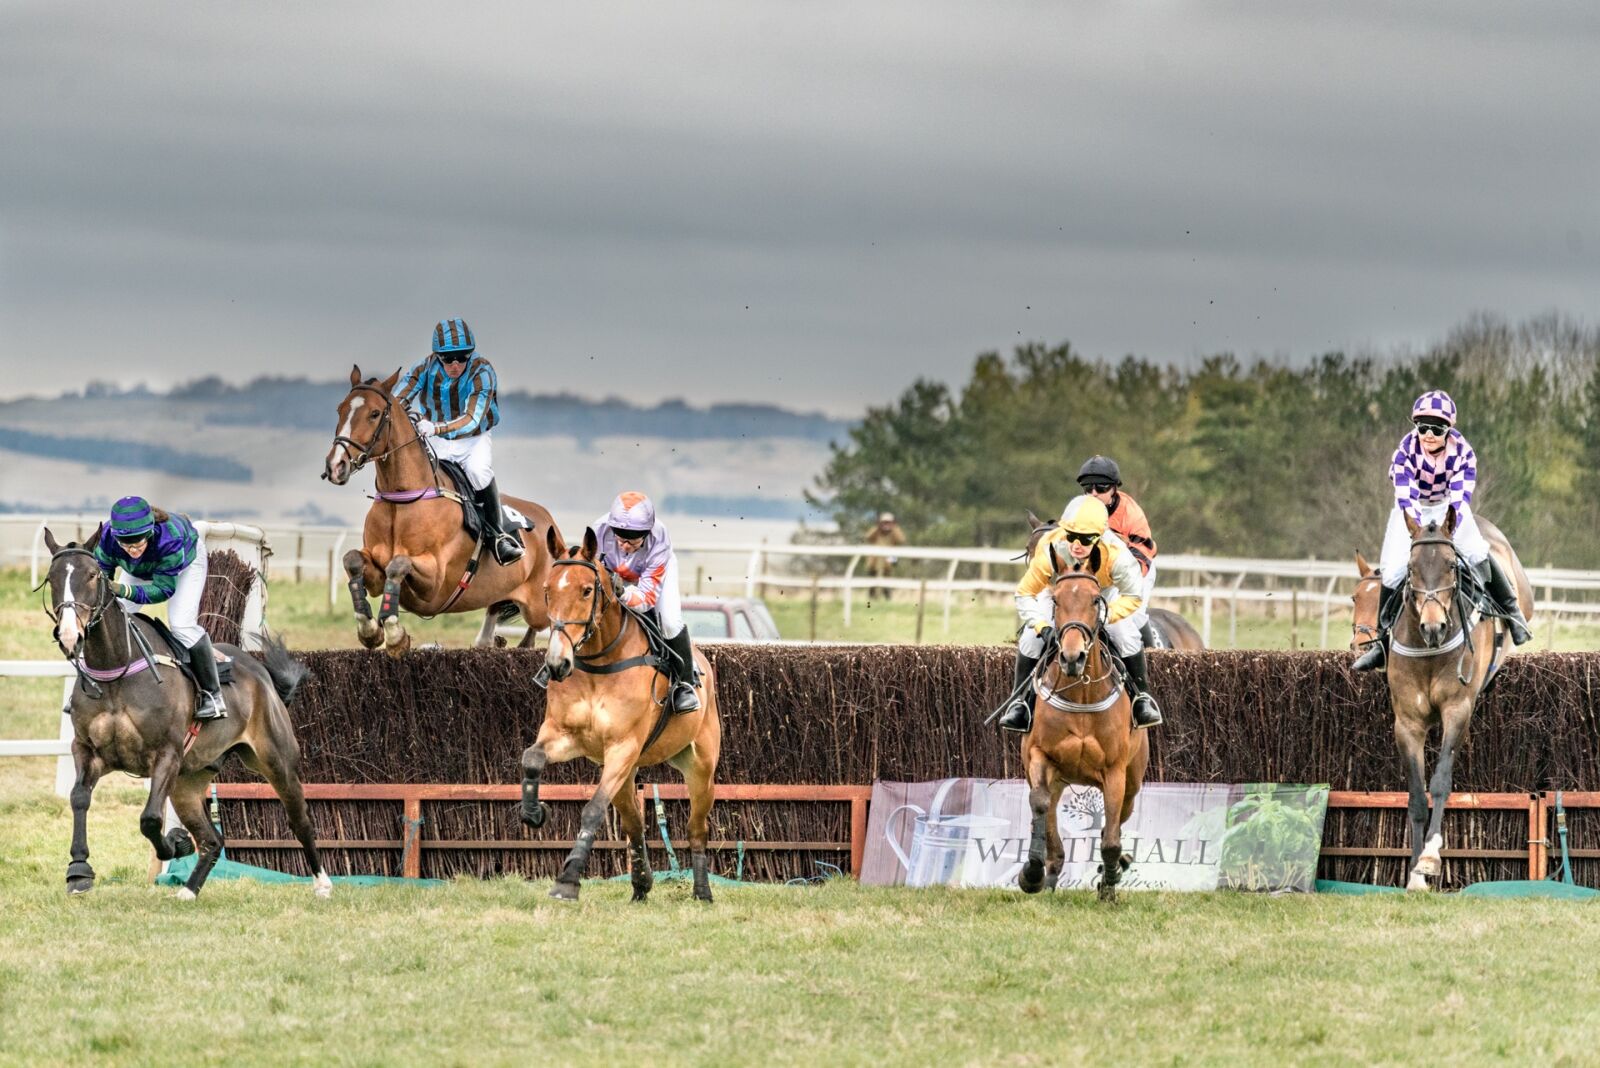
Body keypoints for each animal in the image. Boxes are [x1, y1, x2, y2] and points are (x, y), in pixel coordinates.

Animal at [42, 527, 328, 901]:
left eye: (92, 575)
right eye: (51, 578)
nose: (69, 635)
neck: (116, 669)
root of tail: (261, 673)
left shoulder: (167, 753)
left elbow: (150, 818)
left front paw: (174, 844)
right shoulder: (89, 750)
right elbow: (78, 797)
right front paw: (78, 871)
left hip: (276, 760)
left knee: (300, 819)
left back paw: (323, 883)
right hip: (188, 781)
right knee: (212, 839)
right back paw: (189, 890)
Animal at [321, 362, 566, 655]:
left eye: (374, 413)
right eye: (340, 409)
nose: (336, 466)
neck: (402, 500)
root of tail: (550, 523)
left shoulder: (435, 579)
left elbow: (398, 564)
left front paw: (395, 635)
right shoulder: (377, 568)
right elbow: (353, 560)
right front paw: (370, 630)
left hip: (538, 604)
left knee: (544, 625)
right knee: (500, 620)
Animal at [515, 524, 723, 901]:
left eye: (586, 590)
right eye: (546, 590)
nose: (556, 664)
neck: (600, 664)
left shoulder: (622, 747)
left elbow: (594, 809)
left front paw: (567, 881)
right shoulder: (564, 736)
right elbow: (532, 758)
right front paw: (534, 813)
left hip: (699, 766)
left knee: (696, 828)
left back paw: (702, 891)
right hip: (628, 773)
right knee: (634, 823)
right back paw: (641, 884)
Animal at [1017, 549, 1145, 901]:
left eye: (1095, 600)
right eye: (1056, 600)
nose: (1072, 657)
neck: (1082, 693)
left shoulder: (1115, 772)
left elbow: (1111, 839)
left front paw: (1109, 884)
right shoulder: (1040, 757)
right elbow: (1039, 803)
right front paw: (1031, 873)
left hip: (1133, 781)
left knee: (1116, 822)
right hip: (1058, 778)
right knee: (1051, 818)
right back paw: (1049, 875)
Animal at [1350, 511, 1536, 888]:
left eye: (1451, 565)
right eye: (1411, 567)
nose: (1433, 627)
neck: (1429, 650)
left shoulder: (1457, 711)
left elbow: (1439, 783)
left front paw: (1430, 857)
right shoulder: (1407, 722)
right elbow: (1417, 795)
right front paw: (1414, 875)